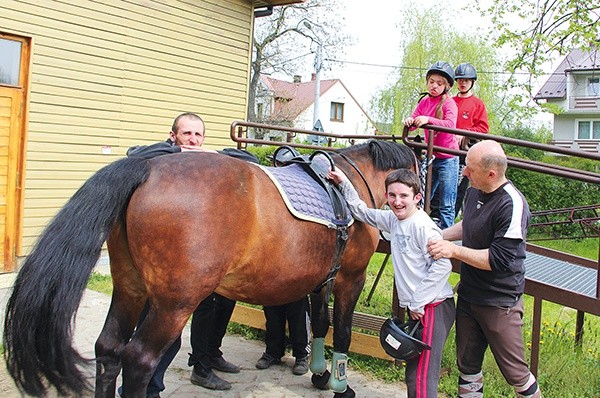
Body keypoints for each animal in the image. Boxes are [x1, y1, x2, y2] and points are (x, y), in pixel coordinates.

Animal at [3, 140, 418, 398]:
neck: (351, 187)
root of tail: (146, 168)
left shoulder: (322, 281)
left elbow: (320, 324)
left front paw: (319, 374)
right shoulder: (350, 278)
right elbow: (342, 332)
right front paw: (340, 385)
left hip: (130, 288)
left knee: (108, 350)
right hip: (173, 304)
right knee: (138, 360)